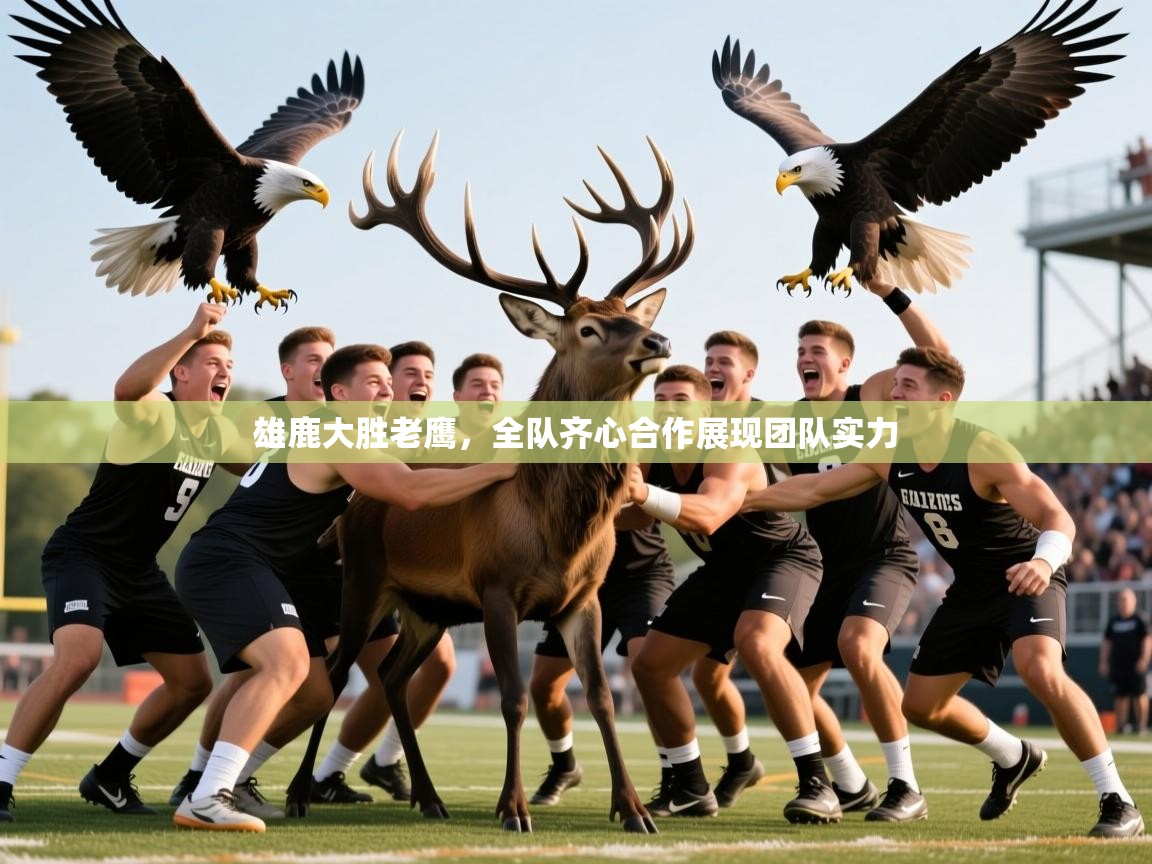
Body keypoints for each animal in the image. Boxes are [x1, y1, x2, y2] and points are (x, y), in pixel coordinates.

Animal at [284, 131, 694, 833]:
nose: (658, 338)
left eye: (630, 315)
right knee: (336, 673)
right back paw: (299, 792)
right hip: (364, 580)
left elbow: (603, 698)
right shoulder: (497, 586)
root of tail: (351, 511)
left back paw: (429, 796)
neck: (558, 529)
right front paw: (514, 808)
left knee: (391, 676)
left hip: (427, 610)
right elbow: (511, 697)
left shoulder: (582, 599)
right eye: (588, 328)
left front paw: (635, 809)